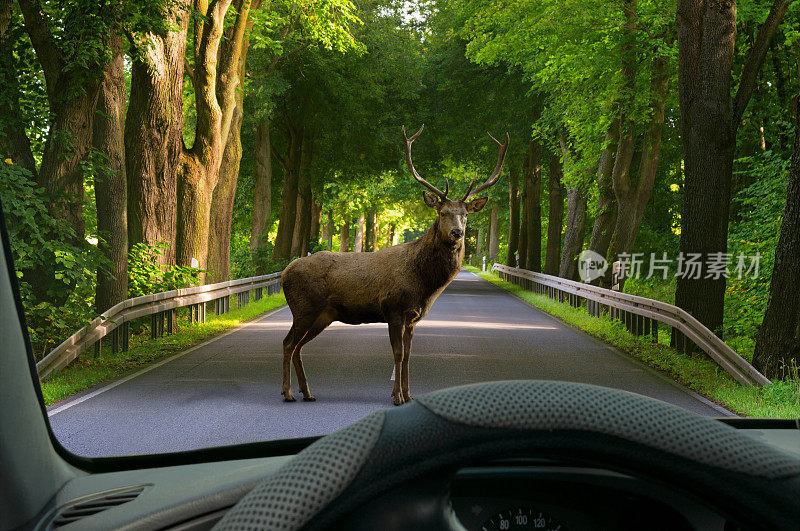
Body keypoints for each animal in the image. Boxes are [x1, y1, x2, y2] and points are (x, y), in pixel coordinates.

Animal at [278, 125, 510, 408]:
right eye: (442, 213)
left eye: (465, 215)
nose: (458, 232)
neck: (424, 285)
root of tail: (285, 272)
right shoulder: (393, 309)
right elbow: (398, 354)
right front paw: (397, 396)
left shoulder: (413, 317)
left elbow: (409, 354)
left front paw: (409, 395)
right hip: (304, 307)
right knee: (288, 343)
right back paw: (288, 393)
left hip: (322, 314)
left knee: (298, 346)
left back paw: (307, 392)